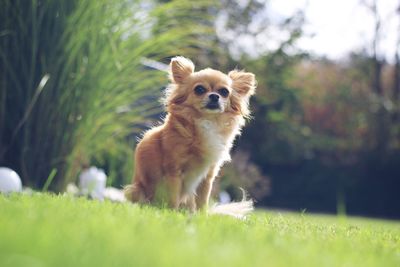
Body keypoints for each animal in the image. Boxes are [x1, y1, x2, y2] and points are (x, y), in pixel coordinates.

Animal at [125, 55, 256, 215]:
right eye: (199, 89)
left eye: (224, 92)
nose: (214, 96)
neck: (207, 121)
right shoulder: (173, 171)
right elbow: (173, 197)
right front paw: (171, 214)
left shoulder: (207, 177)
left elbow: (202, 201)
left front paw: (202, 217)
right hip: (134, 190)